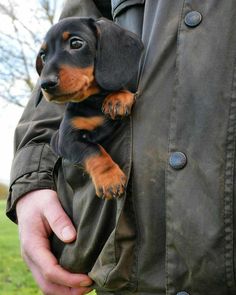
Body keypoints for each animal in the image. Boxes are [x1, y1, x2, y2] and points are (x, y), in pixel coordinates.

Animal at [36, 17, 144, 200]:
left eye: (76, 43)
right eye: (43, 56)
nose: (45, 84)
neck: (94, 101)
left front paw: (118, 98)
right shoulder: (68, 139)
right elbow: (93, 150)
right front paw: (110, 179)